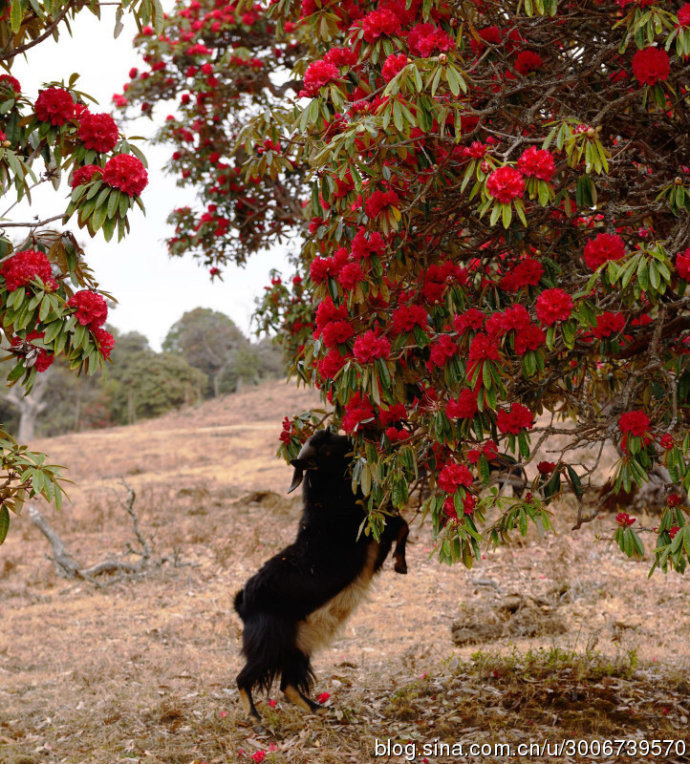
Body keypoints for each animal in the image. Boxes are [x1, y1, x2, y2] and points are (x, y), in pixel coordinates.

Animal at [234, 432, 406, 720]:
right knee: (244, 678)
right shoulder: (369, 528)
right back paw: (255, 717)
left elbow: (402, 525)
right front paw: (401, 564)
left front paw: (400, 563)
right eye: (324, 451)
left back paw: (318, 709)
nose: (353, 442)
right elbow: (402, 526)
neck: (326, 502)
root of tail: (242, 603)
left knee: (288, 685)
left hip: (297, 646)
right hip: (270, 643)